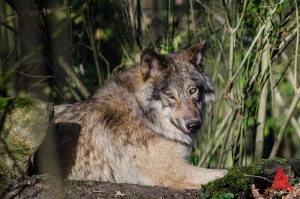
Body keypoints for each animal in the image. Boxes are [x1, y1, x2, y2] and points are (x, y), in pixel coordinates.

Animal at [34, 40, 227, 190]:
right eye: (170, 95)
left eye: (192, 90)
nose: (194, 124)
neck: (143, 116)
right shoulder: (175, 171)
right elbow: (222, 172)